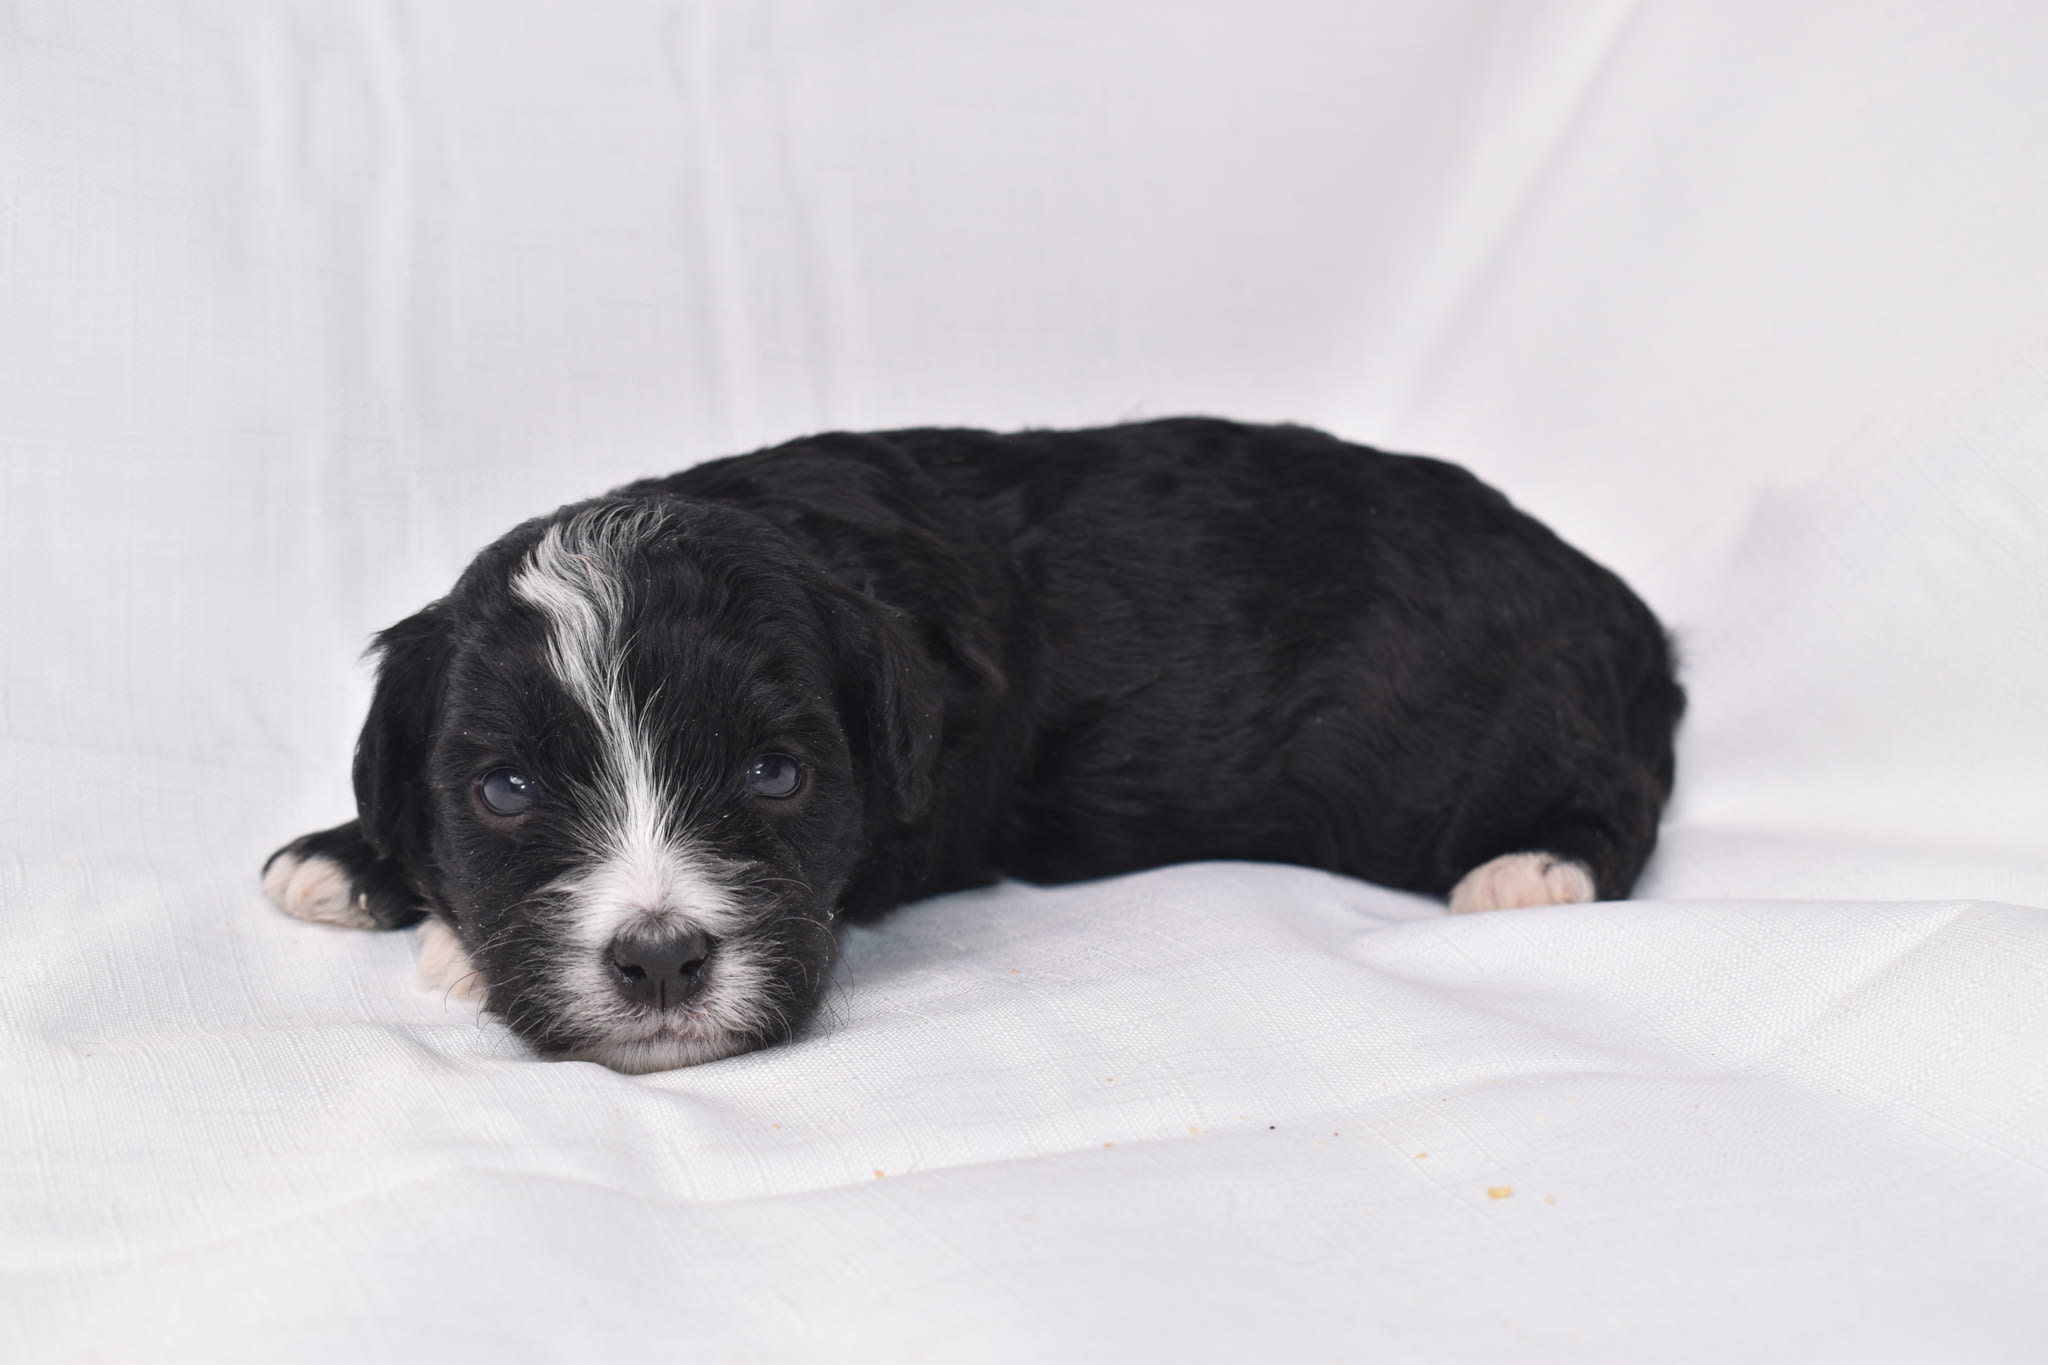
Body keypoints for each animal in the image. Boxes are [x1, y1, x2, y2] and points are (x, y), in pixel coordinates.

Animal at [264, 421, 1687, 1072]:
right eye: (504, 790)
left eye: (774, 777)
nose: (660, 960)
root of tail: (1617, 602)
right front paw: (351, 861)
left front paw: (449, 941)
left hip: (1500, 731)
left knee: (1610, 796)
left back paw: (1530, 871)